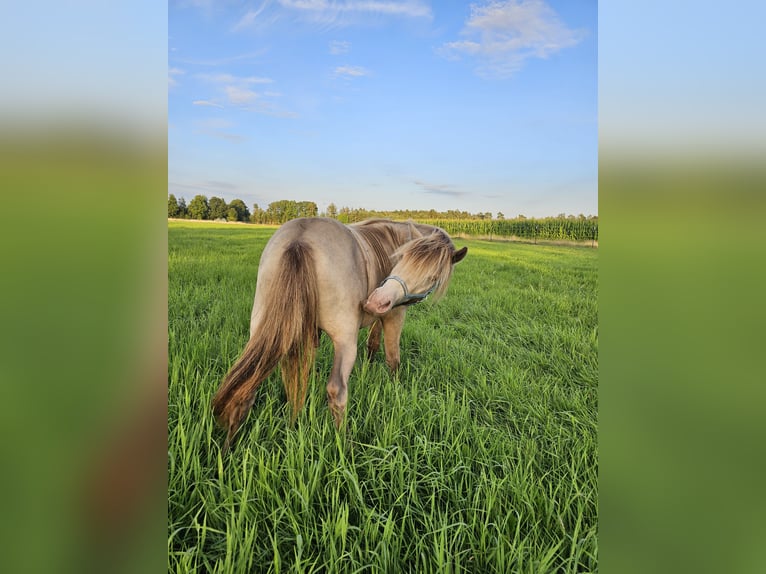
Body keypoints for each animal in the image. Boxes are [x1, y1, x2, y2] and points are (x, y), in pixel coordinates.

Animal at [213, 218, 472, 452]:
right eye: (401, 260)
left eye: (432, 277)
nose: (376, 300)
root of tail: (300, 239)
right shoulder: (393, 314)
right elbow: (392, 358)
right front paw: (396, 390)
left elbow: (371, 344)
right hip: (345, 340)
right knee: (336, 390)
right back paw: (344, 447)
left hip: (265, 329)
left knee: (249, 385)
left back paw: (229, 450)